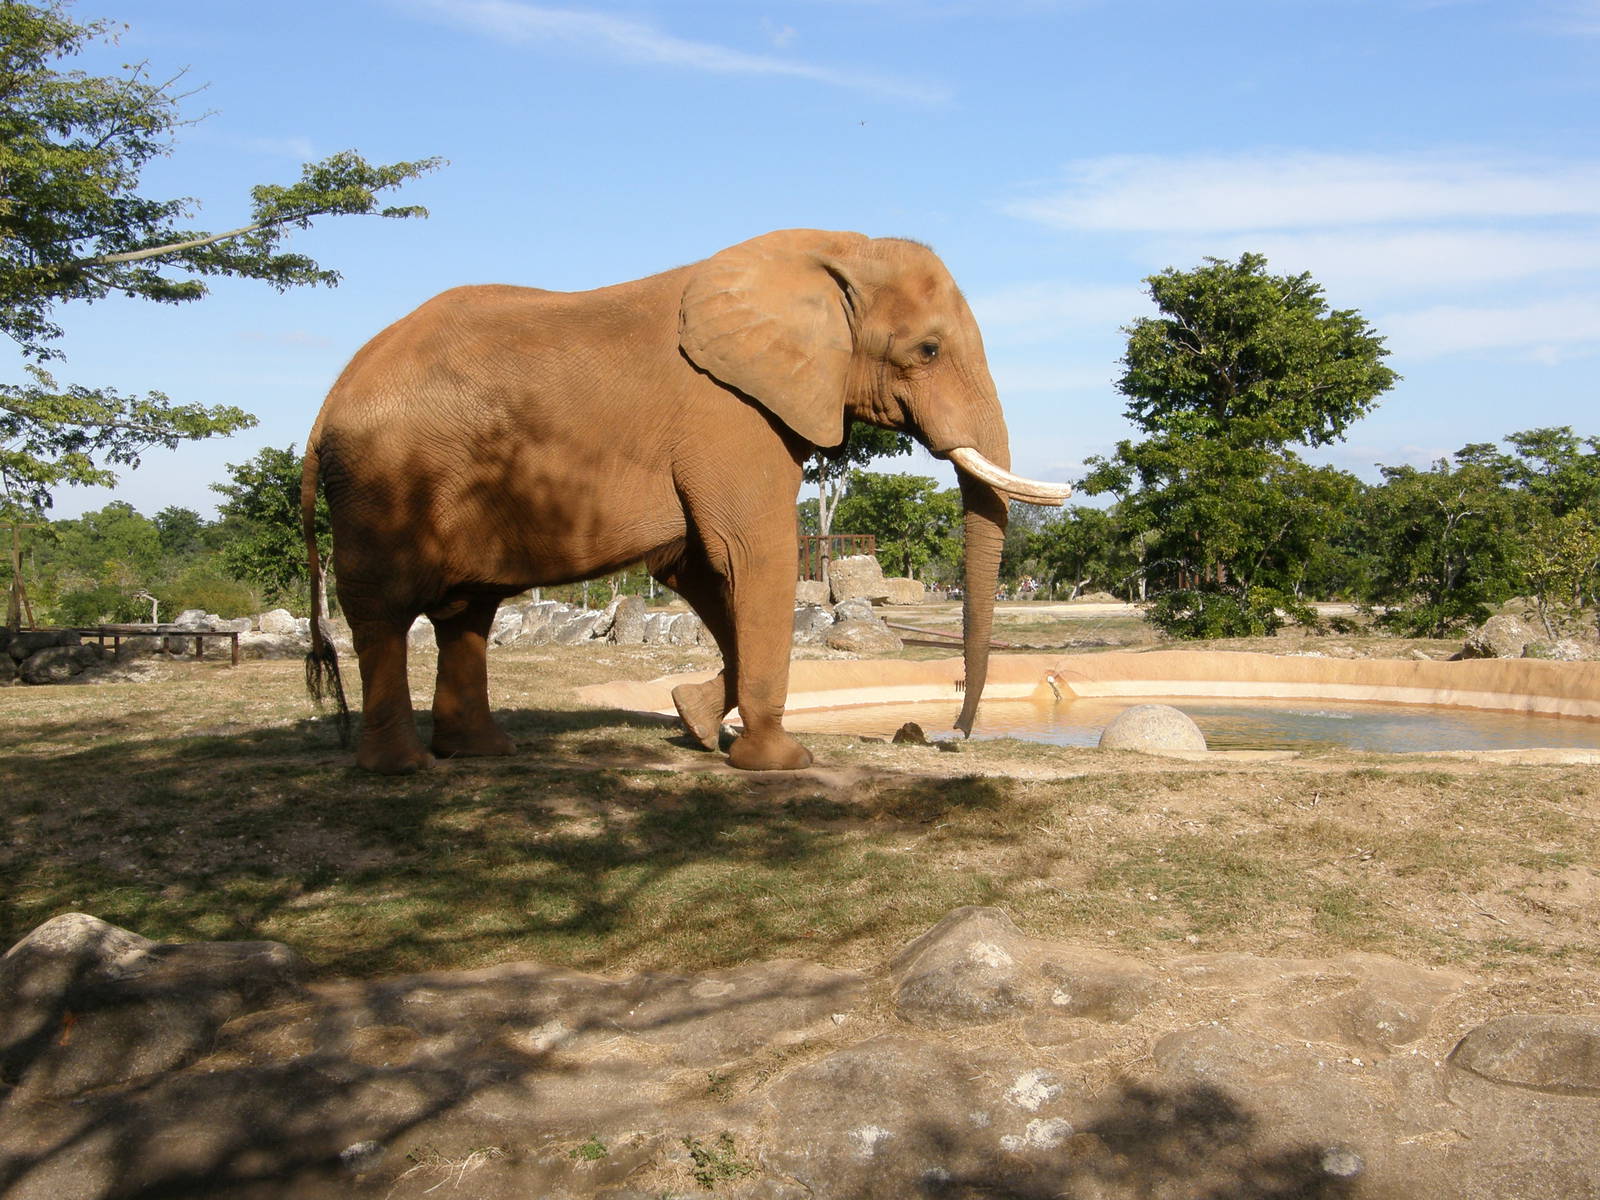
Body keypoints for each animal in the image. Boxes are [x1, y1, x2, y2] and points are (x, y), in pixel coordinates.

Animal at [301, 228, 1069, 774]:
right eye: (928, 350)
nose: (946, 737)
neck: (831, 251)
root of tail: (323, 411)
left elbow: (698, 570)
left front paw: (695, 722)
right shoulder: (730, 414)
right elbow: (753, 554)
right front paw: (782, 763)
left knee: (468, 612)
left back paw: (483, 754)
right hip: (383, 482)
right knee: (385, 612)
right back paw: (402, 769)